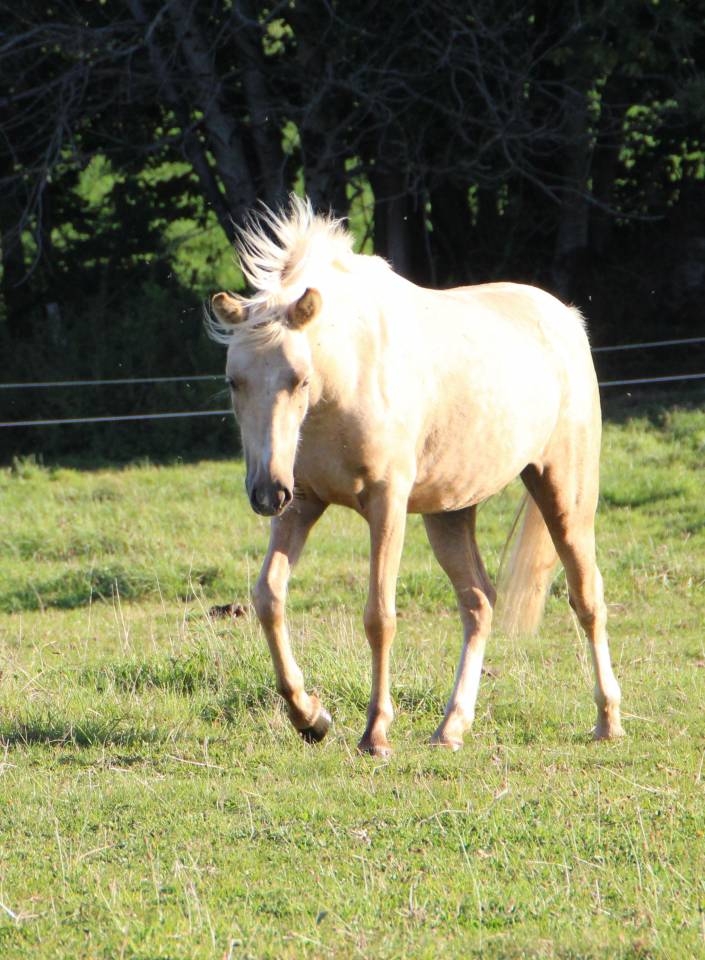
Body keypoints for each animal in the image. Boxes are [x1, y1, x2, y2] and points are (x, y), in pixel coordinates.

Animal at [209, 196, 624, 757]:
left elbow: (379, 615)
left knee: (587, 597)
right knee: (479, 603)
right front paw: (310, 716)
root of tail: (566, 319)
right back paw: (452, 727)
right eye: (235, 381)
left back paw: (607, 721)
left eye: (299, 378)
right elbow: (268, 597)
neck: (348, 379)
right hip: (451, 512)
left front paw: (376, 732)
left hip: (564, 493)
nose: (265, 494)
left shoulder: (386, 504)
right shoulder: (303, 504)